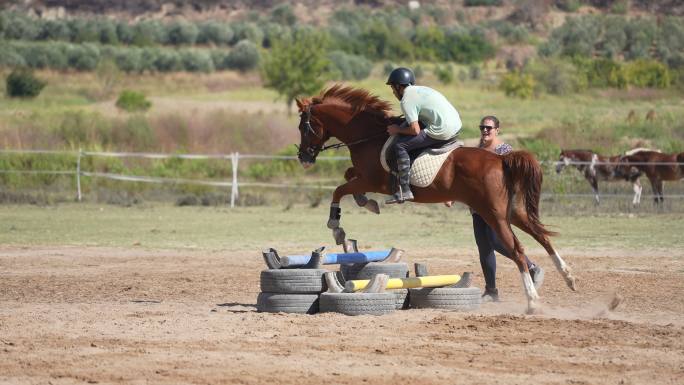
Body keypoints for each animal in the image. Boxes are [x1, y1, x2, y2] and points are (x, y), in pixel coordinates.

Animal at [294, 85, 576, 312]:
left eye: (304, 127)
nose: (303, 158)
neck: (368, 136)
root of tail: (501, 160)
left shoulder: (373, 181)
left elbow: (339, 190)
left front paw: (337, 226)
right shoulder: (363, 177)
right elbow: (347, 177)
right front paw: (367, 203)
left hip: (494, 214)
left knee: (518, 250)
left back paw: (533, 301)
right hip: (514, 212)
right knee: (542, 237)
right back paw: (568, 277)